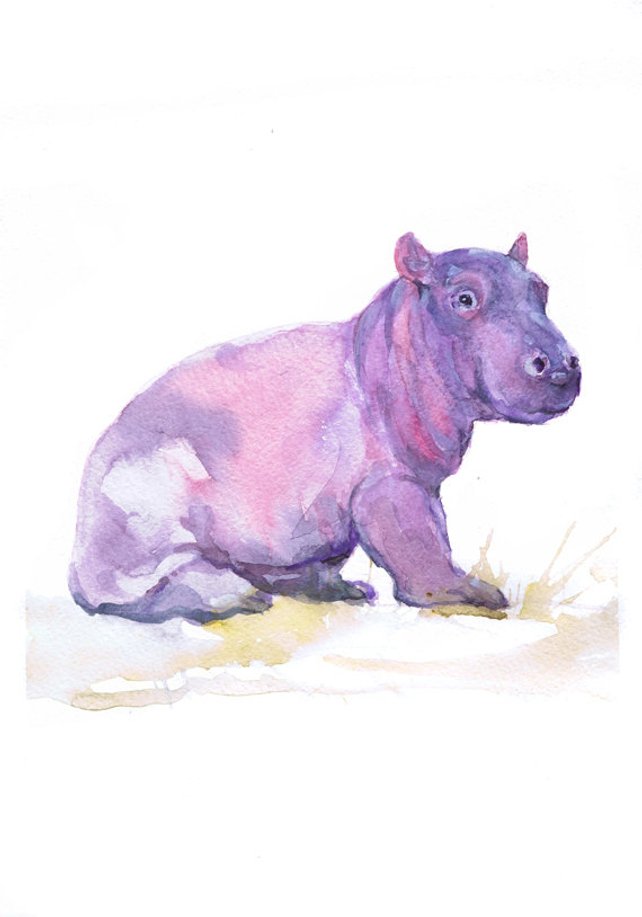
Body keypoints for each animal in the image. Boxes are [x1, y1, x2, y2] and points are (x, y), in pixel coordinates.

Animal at [69, 232, 580, 623]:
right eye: (464, 299)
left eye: (543, 290)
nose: (560, 364)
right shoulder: (389, 483)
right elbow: (418, 541)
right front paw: (477, 595)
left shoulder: (414, 479)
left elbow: (428, 531)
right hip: (147, 494)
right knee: (147, 579)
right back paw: (239, 597)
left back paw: (338, 590)